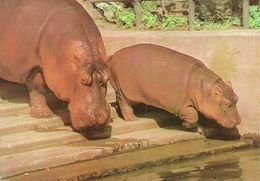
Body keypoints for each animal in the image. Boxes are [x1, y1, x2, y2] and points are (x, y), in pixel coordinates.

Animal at [108, 43, 241, 129]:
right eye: (226, 103)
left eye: (237, 98)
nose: (239, 121)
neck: (203, 90)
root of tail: (113, 55)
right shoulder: (180, 105)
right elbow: (193, 115)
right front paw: (186, 125)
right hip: (122, 89)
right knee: (123, 102)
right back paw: (133, 119)